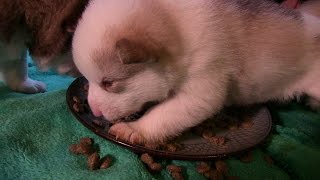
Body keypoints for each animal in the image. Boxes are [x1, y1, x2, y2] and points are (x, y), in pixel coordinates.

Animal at [72, 0, 320, 143]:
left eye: (108, 82)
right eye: (88, 79)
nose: (94, 111)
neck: (176, 23)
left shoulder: (203, 84)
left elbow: (163, 113)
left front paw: (136, 129)